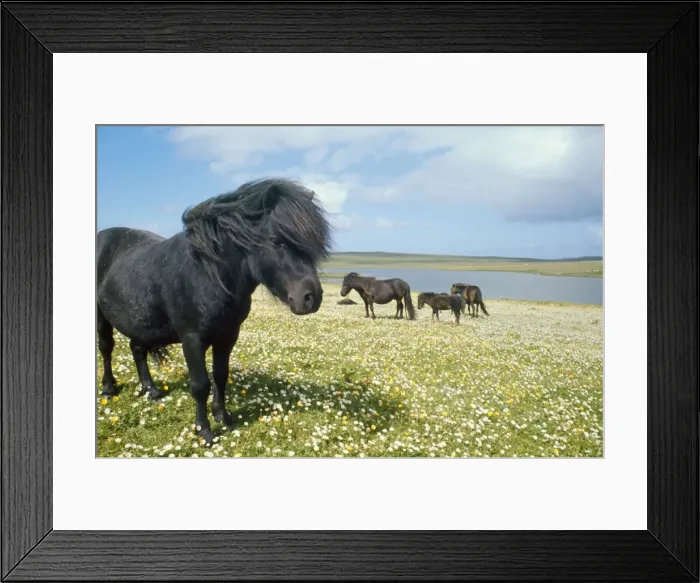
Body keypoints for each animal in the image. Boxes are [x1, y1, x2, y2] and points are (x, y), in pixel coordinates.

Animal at [96, 177, 332, 445]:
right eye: (276, 241)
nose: (311, 297)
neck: (208, 274)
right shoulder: (192, 339)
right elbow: (200, 385)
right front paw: (204, 431)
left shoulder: (227, 336)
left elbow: (220, 375)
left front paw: (223, 417)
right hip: (102, 317)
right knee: (106, 348)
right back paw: (109, 388)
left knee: (137, 349)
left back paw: (151, 390)